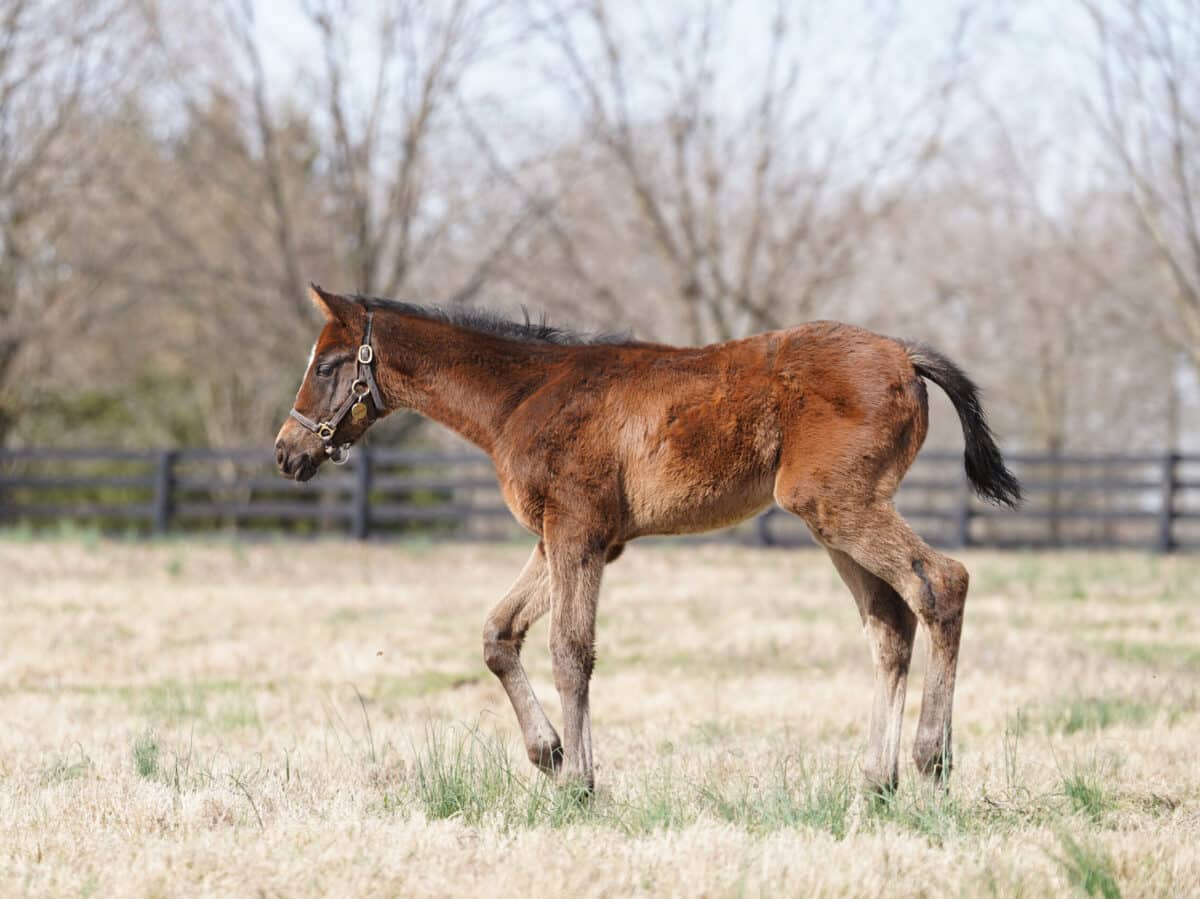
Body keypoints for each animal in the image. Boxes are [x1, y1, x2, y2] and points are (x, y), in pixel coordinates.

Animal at [276, 285, 1017, 792]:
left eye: (328, 363)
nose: (287, 453)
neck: (523, 397)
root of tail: (902, 353)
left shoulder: (576, 531)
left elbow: (570, 651)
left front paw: (579, 783)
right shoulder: (568, 539)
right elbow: (498, 634)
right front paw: (547, 753)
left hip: (840, 505)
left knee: (941, 583)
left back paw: (931, 757)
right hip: (833, 520)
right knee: (890, 624)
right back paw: (875, 779)